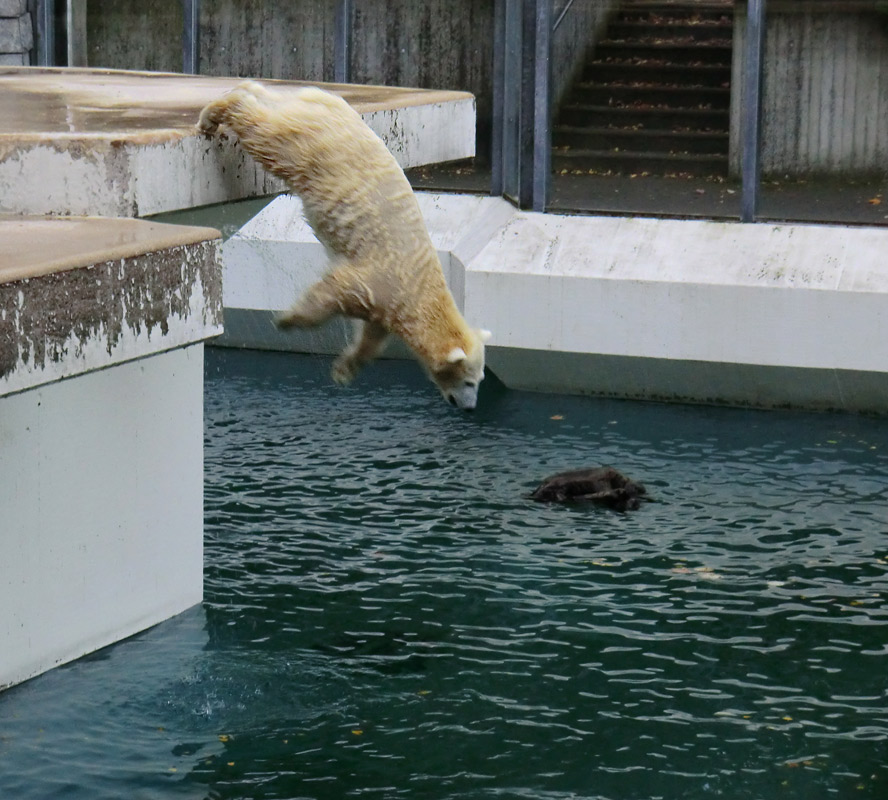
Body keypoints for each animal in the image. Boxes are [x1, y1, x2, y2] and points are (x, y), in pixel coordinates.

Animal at [196, 79, 492, 412]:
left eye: (480, 380)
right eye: (468, 381)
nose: (469, 407)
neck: (420, 294)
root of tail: (326, 99)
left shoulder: (387, 304)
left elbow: (371, 336)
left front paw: (344, 370)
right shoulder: (381, 281)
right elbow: (332, 293)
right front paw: (287, 320)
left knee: (269, 105)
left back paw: (246, 89)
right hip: (311, 148)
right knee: (266, 134)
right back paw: (216, 114)